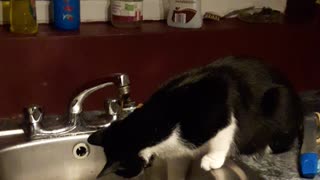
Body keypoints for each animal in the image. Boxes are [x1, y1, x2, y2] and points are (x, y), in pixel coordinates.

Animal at [88, 56, 304, 179]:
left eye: (121, 172)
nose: (132, 176)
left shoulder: (218, 101)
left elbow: (223, 134)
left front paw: (213, 159)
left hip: (279, 102)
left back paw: (258, 150)